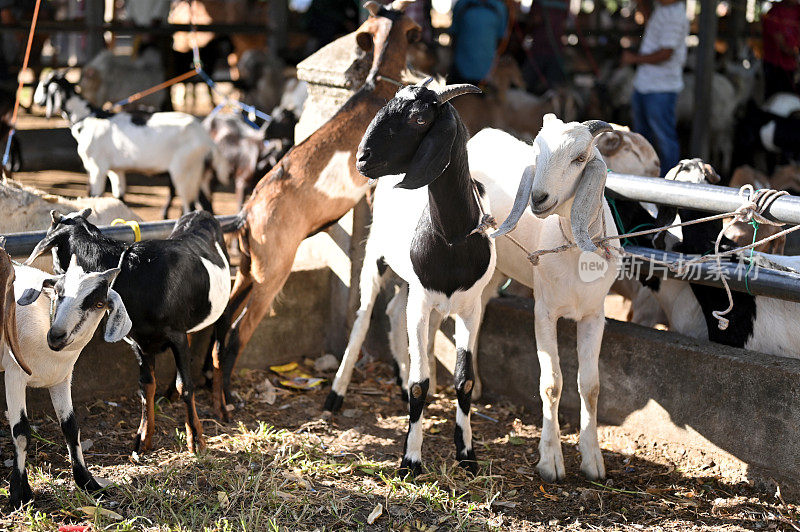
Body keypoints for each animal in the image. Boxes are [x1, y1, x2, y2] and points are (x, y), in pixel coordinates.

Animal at [4, 255, 131, 508]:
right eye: (58, 292)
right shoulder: (14, 375)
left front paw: (88, 483)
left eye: (98, 304)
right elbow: (21, 432)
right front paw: (19, 494)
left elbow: (71, 428)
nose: (56, 336)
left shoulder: (61, 379)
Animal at [25, 208, 231, 454]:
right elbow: (146, 385)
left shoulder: (176, 334)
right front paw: (142, 438)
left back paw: (222, 408)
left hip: (223, 307)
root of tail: (201, 213)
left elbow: (186, 385)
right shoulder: (139, 341)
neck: (137, 275)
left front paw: (196, 439)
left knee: (218, 353)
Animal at [32, 72, 230, 218]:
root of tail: (206, 139)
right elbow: (120, 198)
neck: (89, 119)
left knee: (190, 207)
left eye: (44, 85)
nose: (36, 101)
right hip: (201, 175)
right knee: (207, 207)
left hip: (185, 172)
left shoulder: (97, 167)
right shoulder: (116, 171)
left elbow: (94, 196)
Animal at [211, 1, 424, 420]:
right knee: (237, 335)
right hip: (272, 275)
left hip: (247, 270)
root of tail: (245, 216)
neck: (376, 88)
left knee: (220, 328)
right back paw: (228, 403)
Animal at [322, 81, 490, 476]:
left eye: (419, 119)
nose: (362, 158)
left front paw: (467, 453)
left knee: (394, 311)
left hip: (410, 286)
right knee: (363, 320)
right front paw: (410, 459)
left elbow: (464, 380)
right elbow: (420, 383)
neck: (452, 240)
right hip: (375, 259)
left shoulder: (469, 308)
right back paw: (336, 394)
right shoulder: (424, 302)